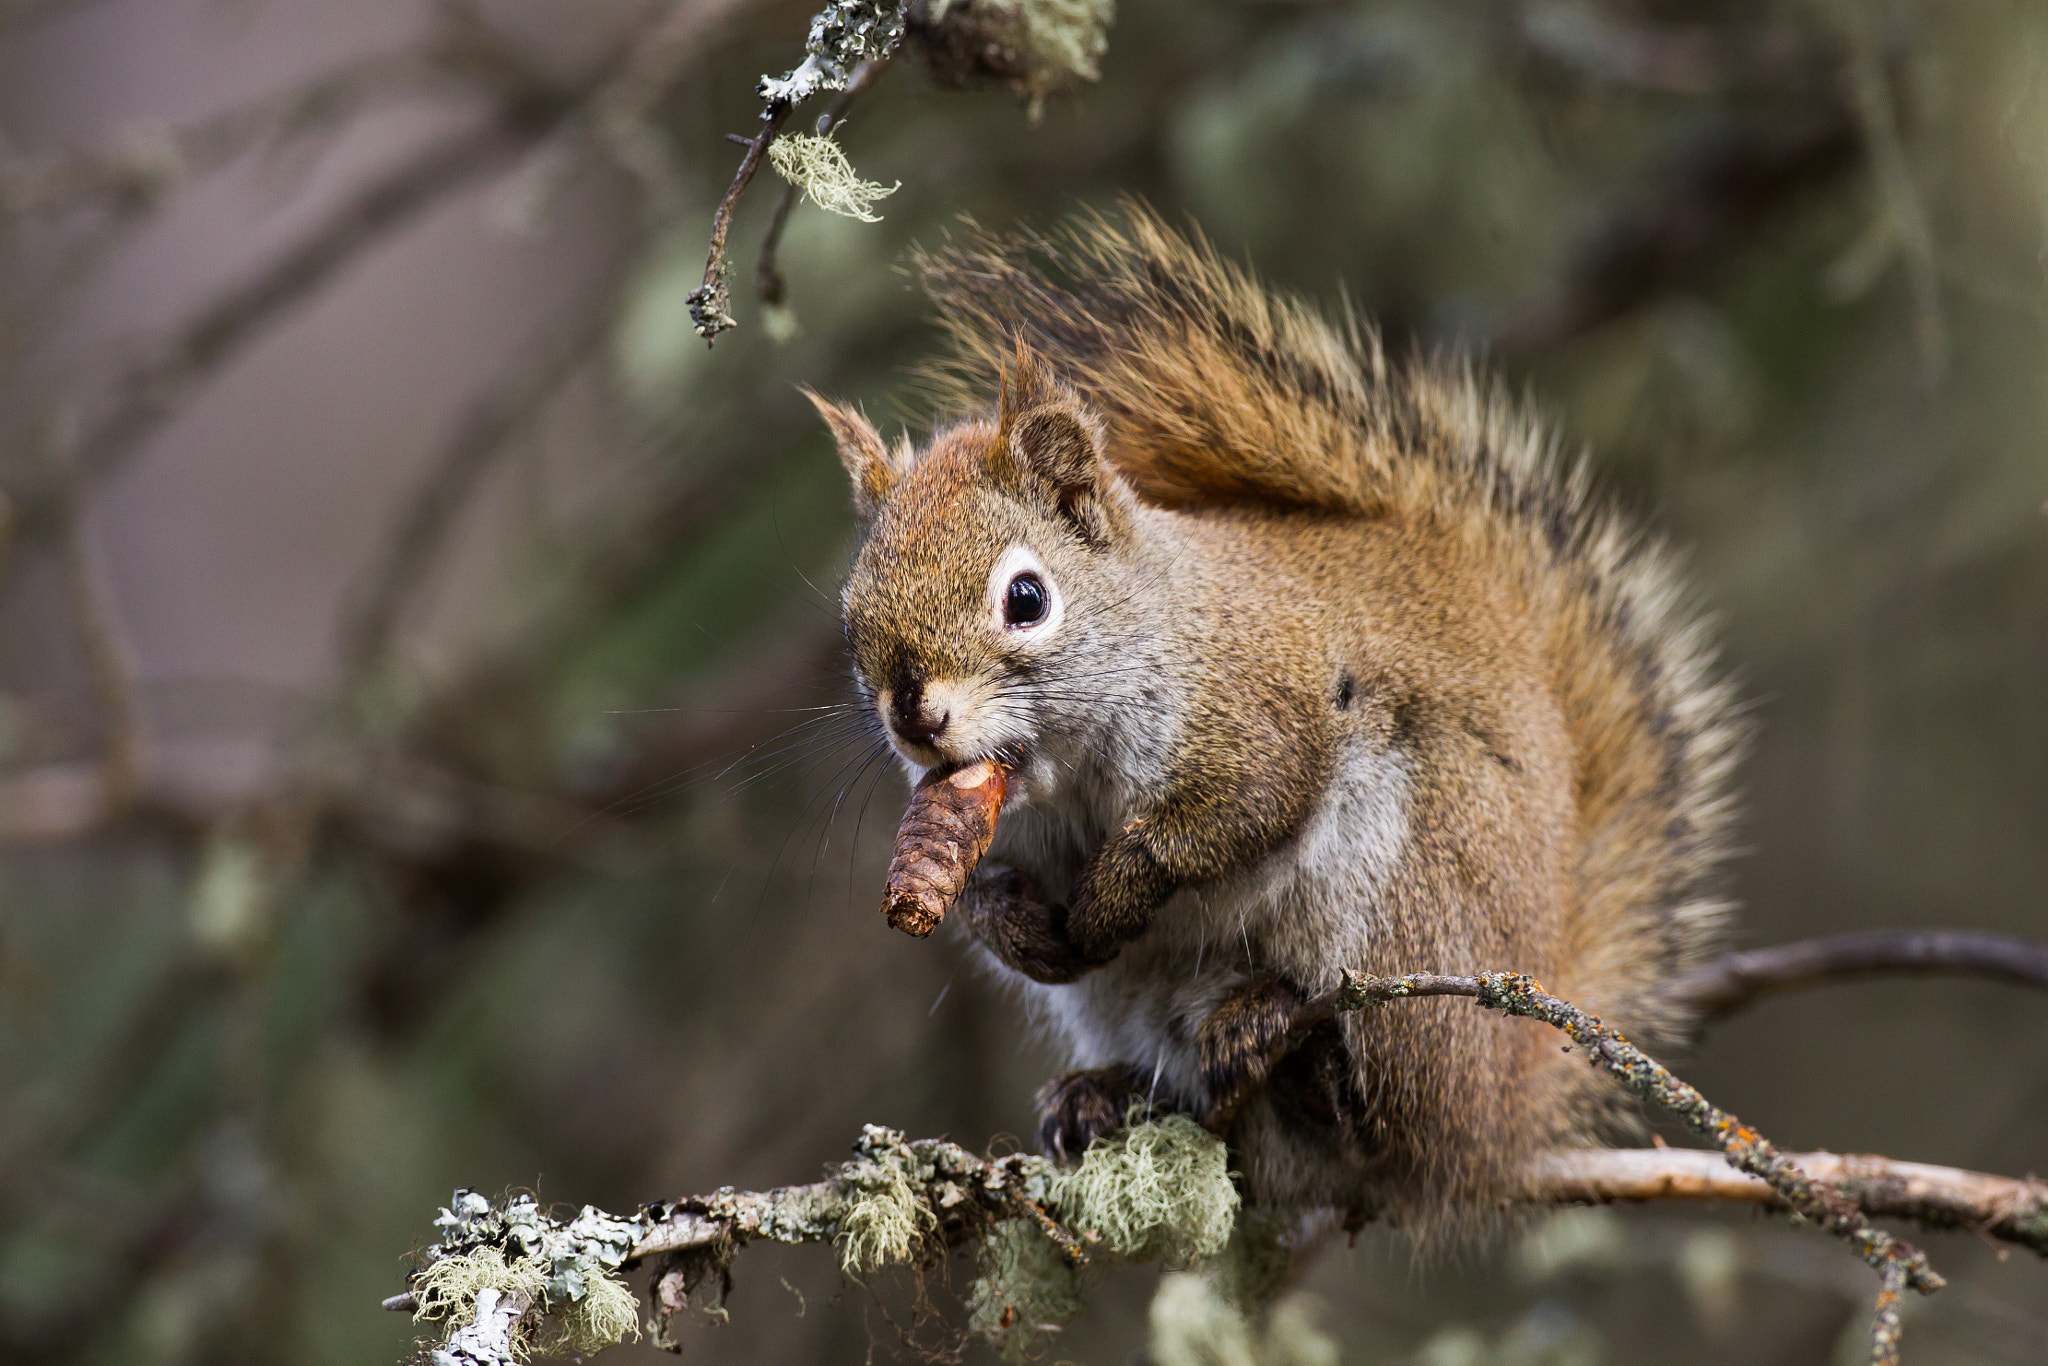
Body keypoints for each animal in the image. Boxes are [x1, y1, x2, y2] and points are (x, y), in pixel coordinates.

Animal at [806, 205, 1745, 1232]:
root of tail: (1506, 1111)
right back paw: (1106, 1094)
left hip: (1411, 912)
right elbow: (981, 891)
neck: (1072, 770)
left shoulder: (1266, 705)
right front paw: (1020, 927)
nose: (914, 718)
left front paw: (1112, 896)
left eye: (1026, 598)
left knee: (1386, 1113)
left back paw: (1290, 1041)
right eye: (850, 615)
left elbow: (1234, 812)